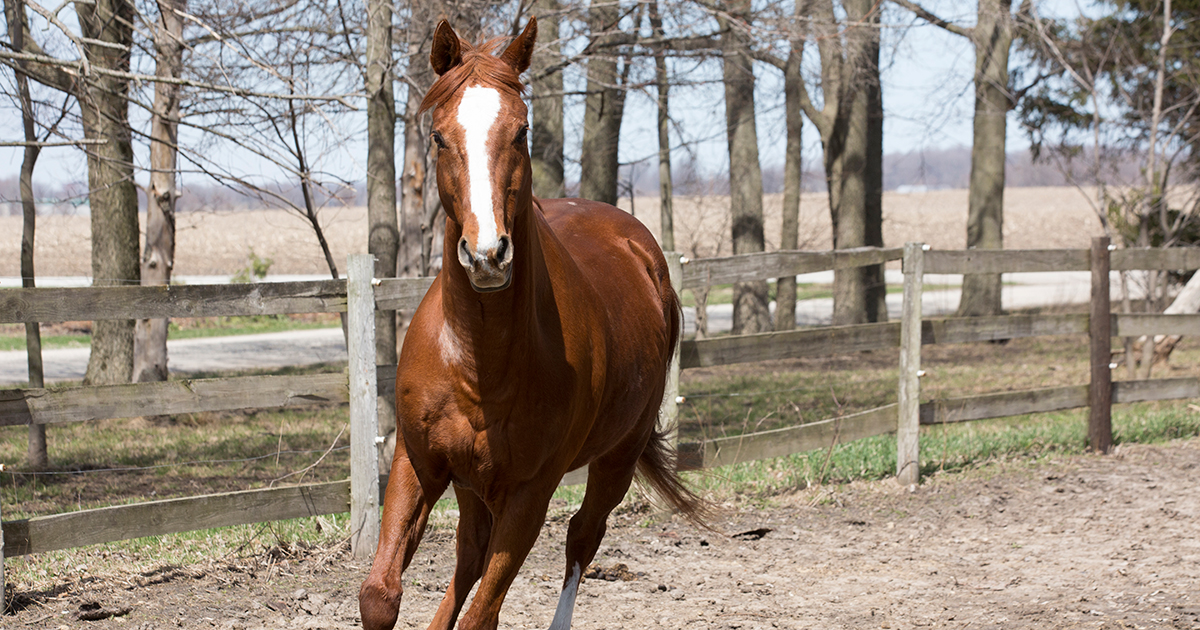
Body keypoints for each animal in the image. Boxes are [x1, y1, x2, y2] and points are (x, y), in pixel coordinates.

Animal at [358, 17, 705, 630]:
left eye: (520, 132)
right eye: (439, 137)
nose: (487, 254)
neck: (478, 362)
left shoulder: (529, 494)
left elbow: (484, 613)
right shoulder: (416, 464)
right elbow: (381, 596)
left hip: (615, 459)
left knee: (581, 539)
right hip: (473, 484)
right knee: (469, 555)